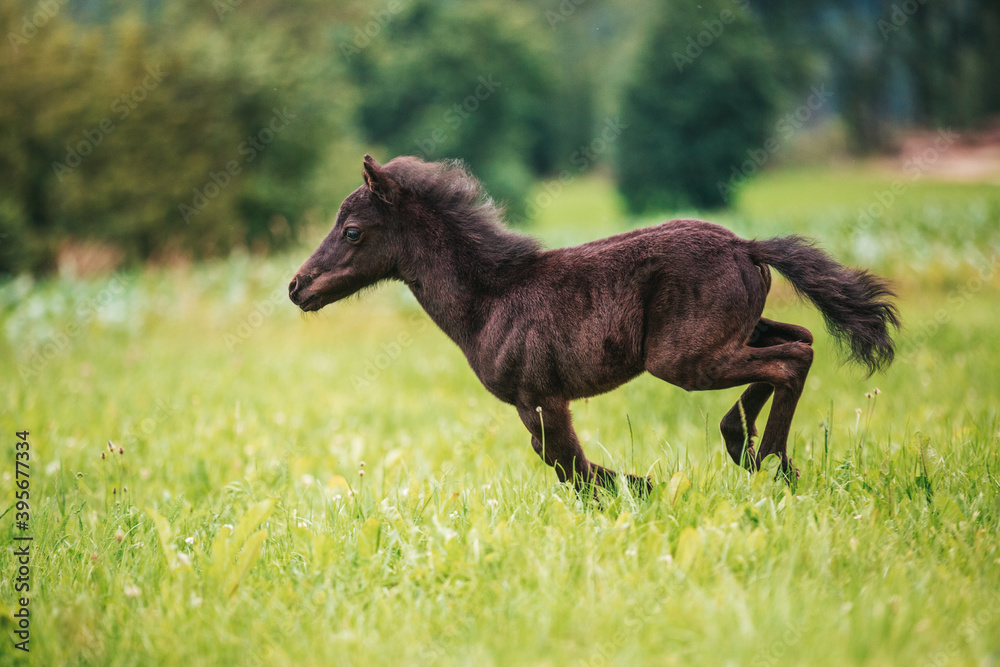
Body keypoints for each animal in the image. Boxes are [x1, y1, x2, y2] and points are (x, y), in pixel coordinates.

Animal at [289, 155, 899, 495]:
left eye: (352, 231)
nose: (297, 287)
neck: (490, 299)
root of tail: (746, 247)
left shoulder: (539, 395)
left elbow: (568, 464)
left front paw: (643, 488)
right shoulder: (535, 402)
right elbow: (561, 463)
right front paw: (640, 487)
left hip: (685, 360)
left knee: (791, 359)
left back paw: (768, 461)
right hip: (732, 335)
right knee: (801, 340)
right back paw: (741, 443)